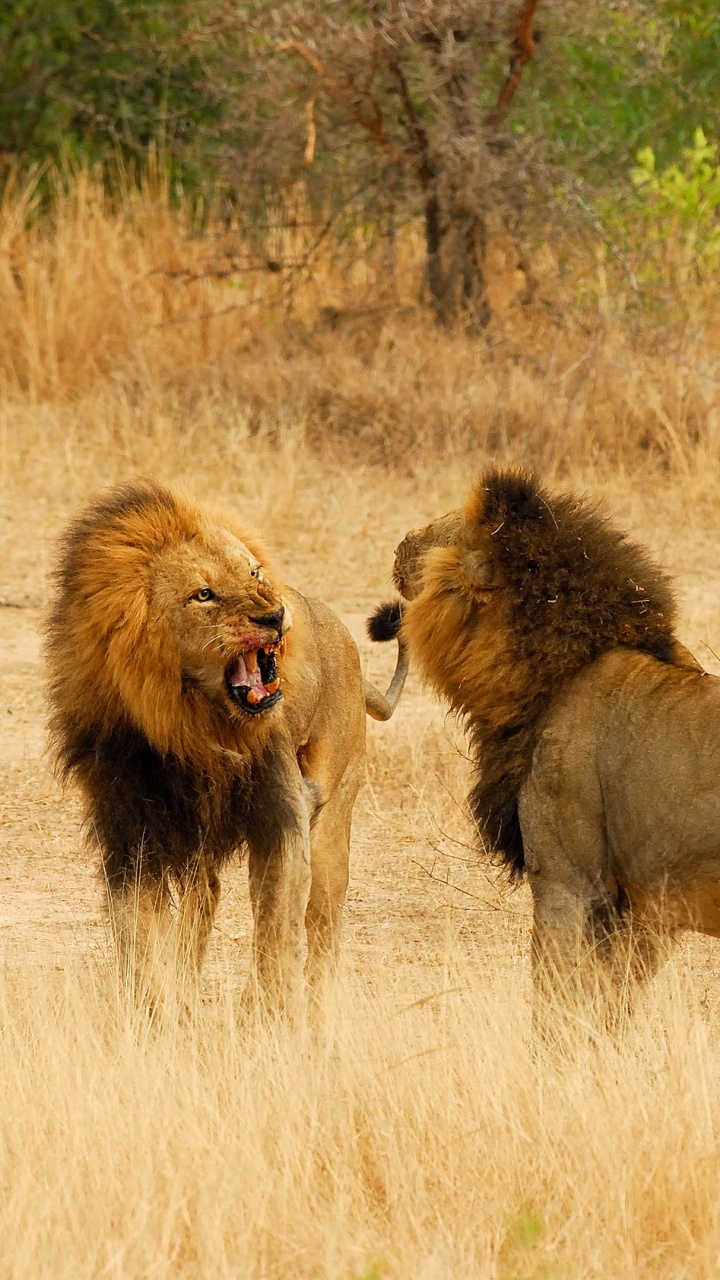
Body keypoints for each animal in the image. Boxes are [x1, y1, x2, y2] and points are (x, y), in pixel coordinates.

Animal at [46, 480, 407, 1017]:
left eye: (253, 572)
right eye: (204, 594)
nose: (275, 614)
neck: (194, 727)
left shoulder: (280, 815)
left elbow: (276, 925)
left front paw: (266, 1014)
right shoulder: (130, 829)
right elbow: (138, 933)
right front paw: (155, 1010)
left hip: (332, 823)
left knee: (320, 924)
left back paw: (314, 1010)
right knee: (207, 895)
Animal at [369, 469, 720, 1024]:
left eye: (442, 534)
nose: (401, 543)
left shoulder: (568, 882)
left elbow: (557, 1005)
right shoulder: (648, 910)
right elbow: (613, 1009)